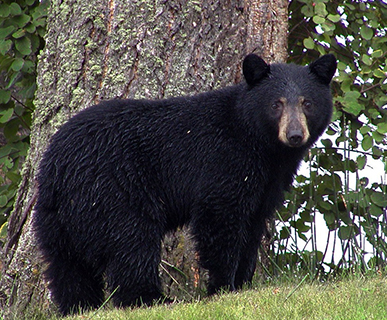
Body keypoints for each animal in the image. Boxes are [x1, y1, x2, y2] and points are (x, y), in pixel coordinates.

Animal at [34, 53, 336, 316]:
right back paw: (152, 299)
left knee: (67, 266)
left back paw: (79, 306)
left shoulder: (267, 182)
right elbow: (220, 219)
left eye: (307, 103)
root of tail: (58, 166)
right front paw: (223, 287)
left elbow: (253, 226)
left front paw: (243, 283)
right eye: (277, 103)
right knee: (131, 243)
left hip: (56, 217)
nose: (295, 135)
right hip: (113, 190)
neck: (261, 144)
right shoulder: (224, 162)